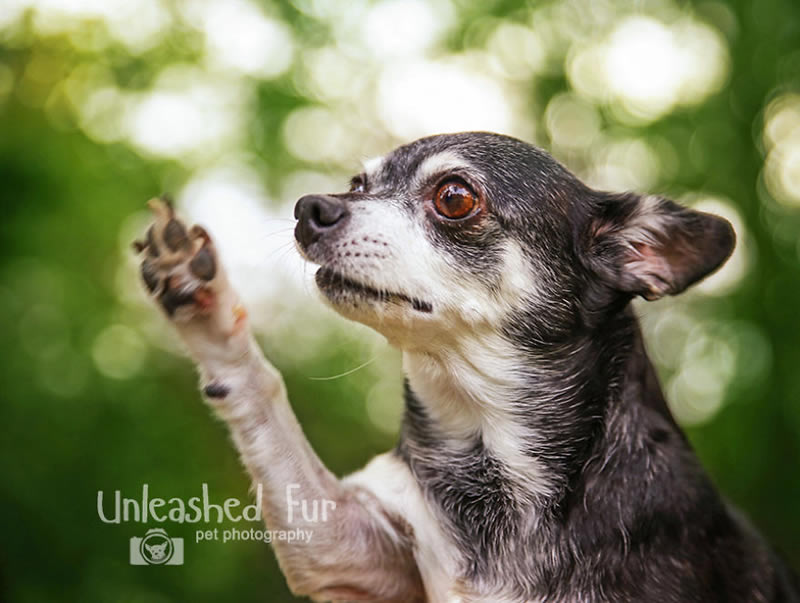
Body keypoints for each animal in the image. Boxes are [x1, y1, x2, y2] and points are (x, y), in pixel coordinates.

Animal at [134, 133, 796, 603]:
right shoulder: (344, 550)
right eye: (358, 183)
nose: (310, 207)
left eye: (454, 197)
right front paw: (208, 310)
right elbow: (266, 405)